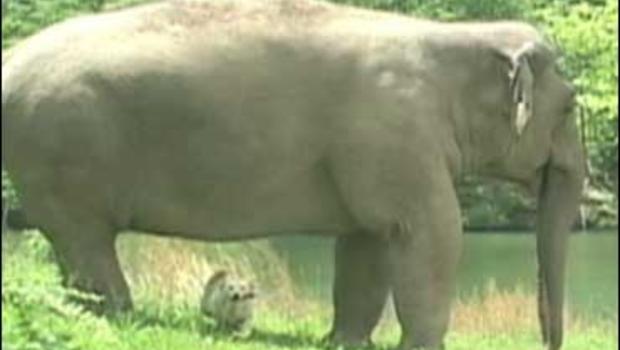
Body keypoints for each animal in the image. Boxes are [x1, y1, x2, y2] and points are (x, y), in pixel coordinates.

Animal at [0, 0, 584, 350]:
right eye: (572, 105)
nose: (548, 341)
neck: (456, 40)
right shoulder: (398, 133)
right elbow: (433, 233)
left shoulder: (379, 157)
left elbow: (369, 240)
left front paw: (344, 343)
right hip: (58, 150)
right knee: (85, 240)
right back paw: (123, 318)